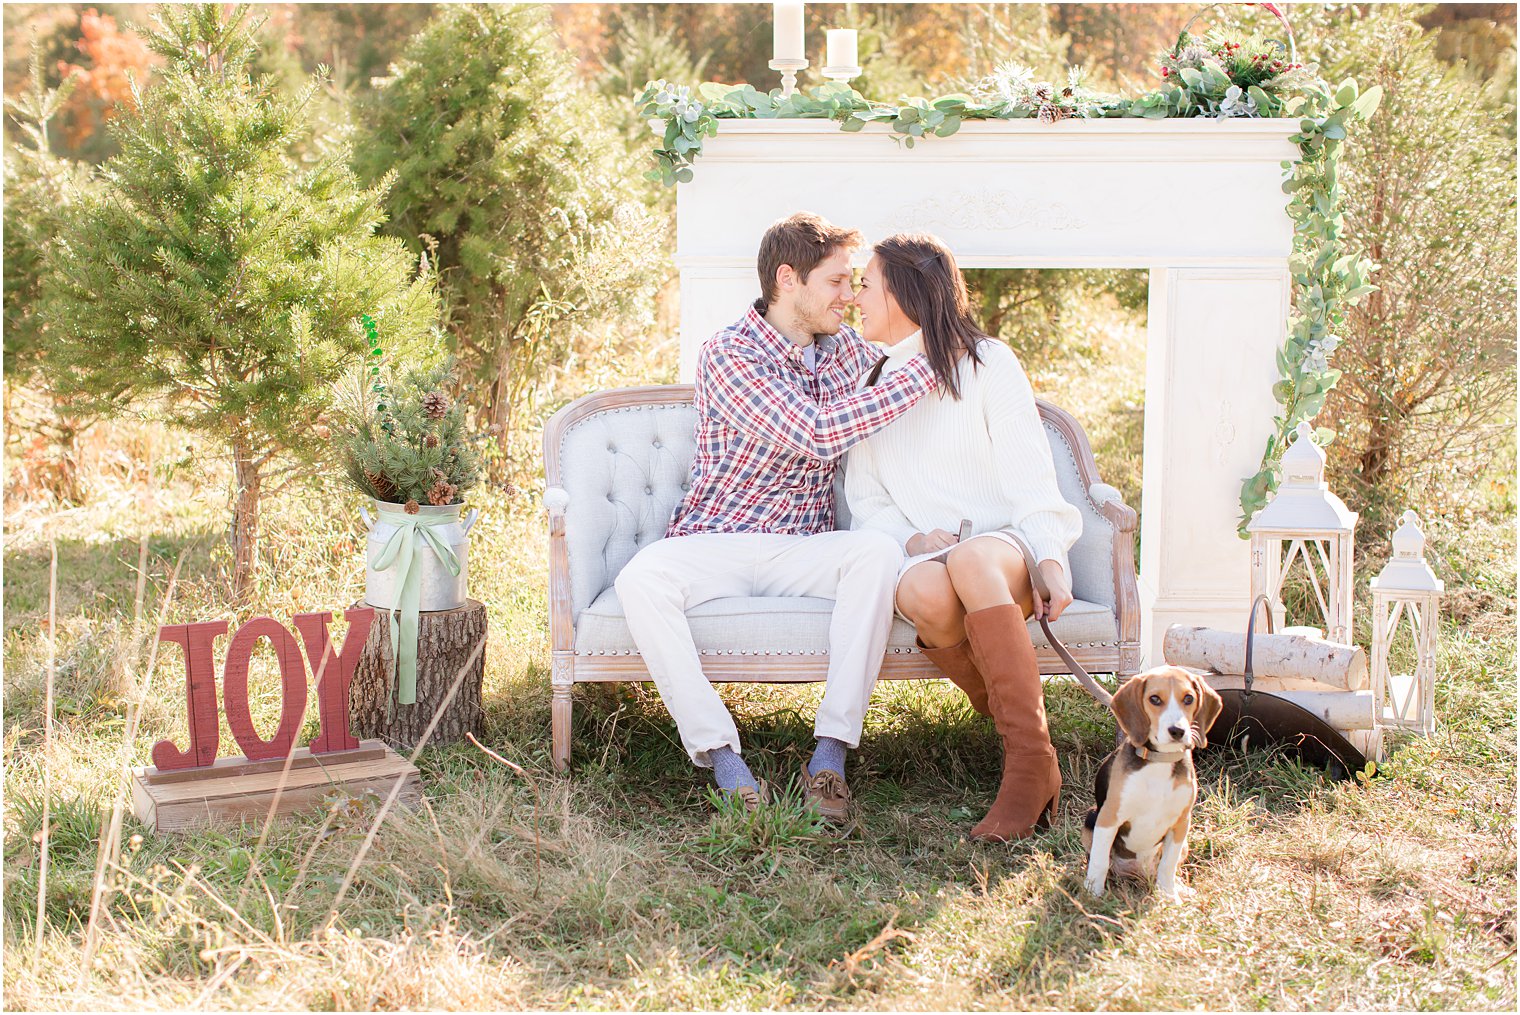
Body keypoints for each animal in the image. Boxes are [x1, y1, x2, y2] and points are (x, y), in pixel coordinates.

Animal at [1082, 668, 1222, 899]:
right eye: (1154, 699)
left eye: (1189, 698)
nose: (1177, 731)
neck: (1160, 760)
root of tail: (1141, 872)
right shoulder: (1109, 817)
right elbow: (1099, 860)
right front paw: (1092, 893)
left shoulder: (1181, 823)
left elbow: (1168, 865)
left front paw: (1168, 895)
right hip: (1091, 817)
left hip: (1184, 842)